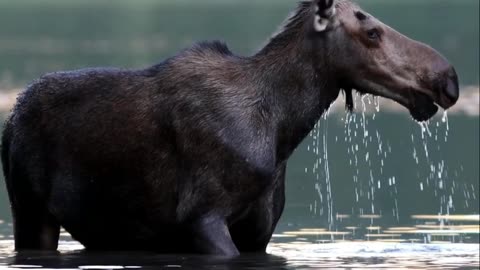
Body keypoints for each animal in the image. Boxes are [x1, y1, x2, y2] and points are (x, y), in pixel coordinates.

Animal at [0, 0, 458, 255]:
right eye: (372, 31)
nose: (448, 78)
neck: (282, 127)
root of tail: (10, 122)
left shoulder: (259, 229)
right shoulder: (201, 217)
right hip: (29, 208)